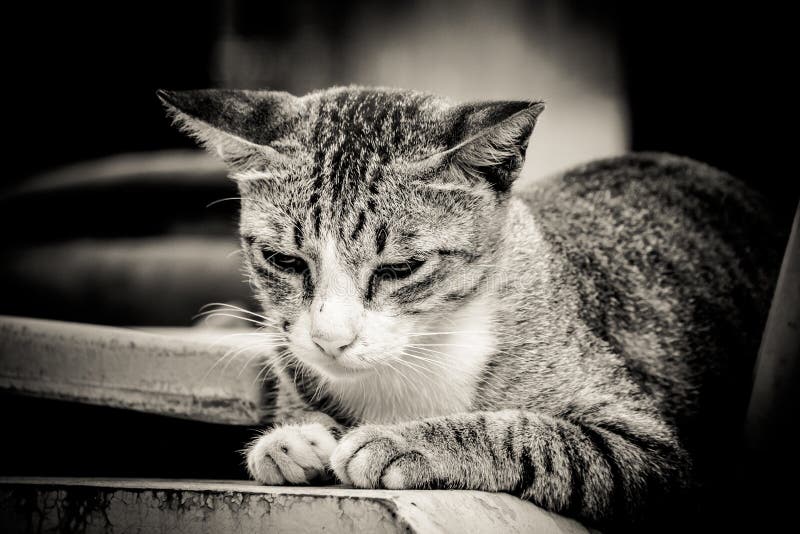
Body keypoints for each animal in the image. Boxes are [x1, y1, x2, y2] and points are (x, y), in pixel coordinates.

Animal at [158, 88, 780, 532]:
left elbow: (545, 438)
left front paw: (409, 441)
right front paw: (292, 439)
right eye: (283, 261)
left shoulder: (654, 454)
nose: (331, 339)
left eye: (400, 268)